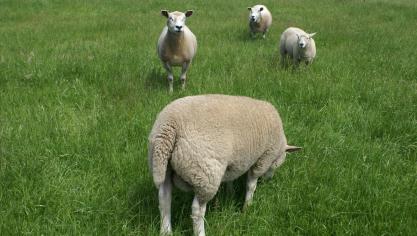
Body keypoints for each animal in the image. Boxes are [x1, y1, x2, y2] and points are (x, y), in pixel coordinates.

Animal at [148, 94, 300, 236]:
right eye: (277, 164)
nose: (269, 180)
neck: (279, 145)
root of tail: (169, 125)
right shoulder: (263, 159)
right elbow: (251, 185)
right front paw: (247, 207)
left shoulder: (234, 162)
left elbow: (231, 179)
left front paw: (230, 193)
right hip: (205, 173)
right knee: (197, 210)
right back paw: (200, 232)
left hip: (162, 165)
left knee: (164, 199)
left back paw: (166, 231)